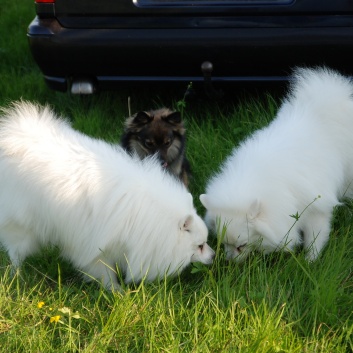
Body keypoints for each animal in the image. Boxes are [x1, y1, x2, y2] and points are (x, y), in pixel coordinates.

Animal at [0, 100, 214, 288]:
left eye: (205, 243)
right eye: (200, 245)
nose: (213, 255)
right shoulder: (95, 247)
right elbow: (103, 271)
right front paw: (116, 291)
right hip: (22, 225)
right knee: (16, 251)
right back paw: (17, 274)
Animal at [201, 67, 353, 262]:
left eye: (241, 246)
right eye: (225, 243)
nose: (229, 261)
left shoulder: (316, 209)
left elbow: (315, 238)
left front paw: (310, 261)